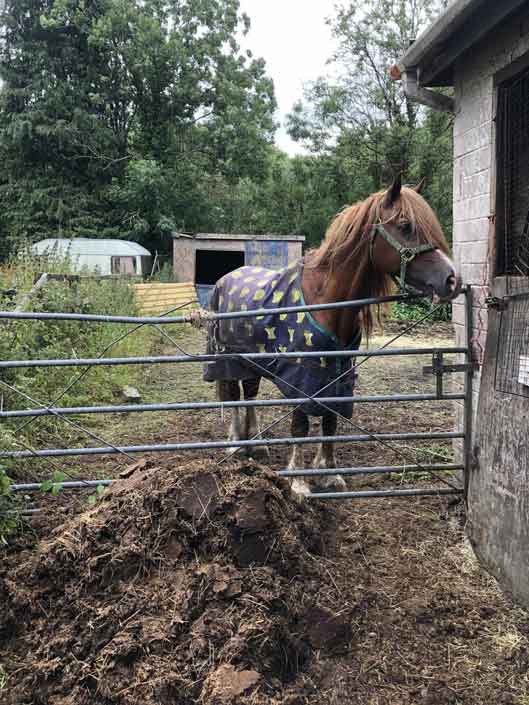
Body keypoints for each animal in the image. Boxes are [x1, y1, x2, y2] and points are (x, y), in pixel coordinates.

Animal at [204, 176, 460, 496]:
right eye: (405, 225)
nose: (452, 280)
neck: (325, 300)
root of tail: (225, 279)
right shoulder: (300, 374)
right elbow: (300, 426)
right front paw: (299, 482)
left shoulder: (339, 372)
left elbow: (330, 420)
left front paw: (329, 472)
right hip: (228, 359)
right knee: (234, 396)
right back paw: (236, 445)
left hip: (253, 362)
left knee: (249, 394)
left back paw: (257, 445)